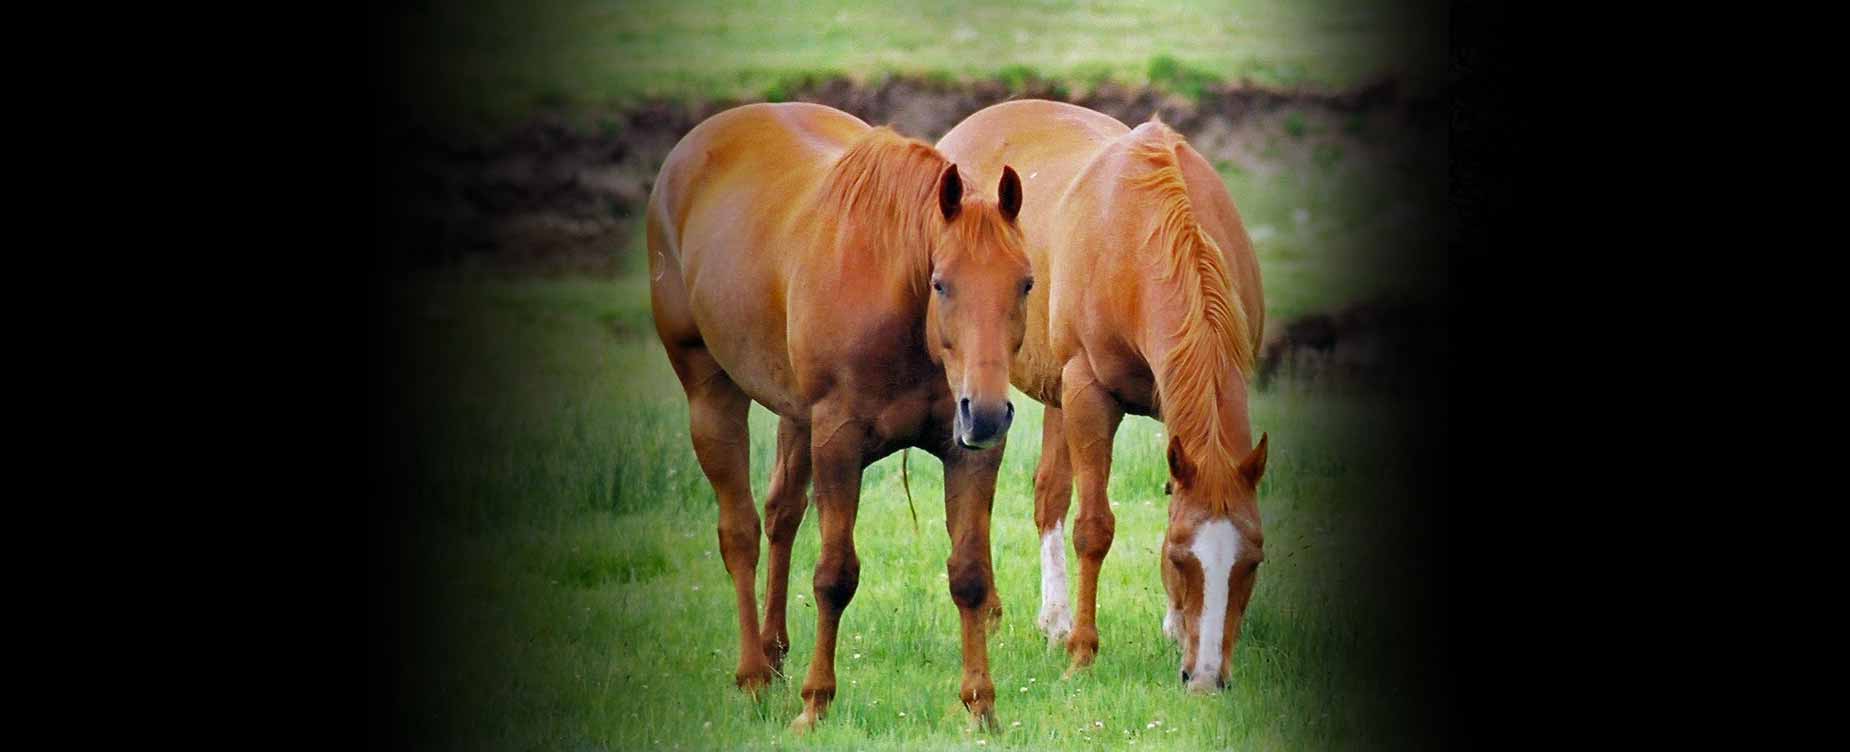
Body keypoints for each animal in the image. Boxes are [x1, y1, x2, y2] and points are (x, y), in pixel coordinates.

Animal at [647, 102, 1028, 729]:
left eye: (1025, 283)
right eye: (941, 283)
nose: (990, 414)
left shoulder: (967, 451)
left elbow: (970, 575)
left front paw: (981, 706)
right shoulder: (838, 441)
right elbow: (834, 576)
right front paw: (815, 702)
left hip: (796, 418)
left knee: (781, 515)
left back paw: (774, 653)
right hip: (711, 393)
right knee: (741, 533)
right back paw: (754, 675)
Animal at [939, 101, 1272, 692]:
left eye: (1252, 562)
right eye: (1182, 558)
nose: (1207, 679)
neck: (1143, 235)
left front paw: (1173, 626)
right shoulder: (1089, 394)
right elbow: (1094, 528)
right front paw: (1083, 652)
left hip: (1055, 394)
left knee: (1047, 493)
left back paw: (1053, 618)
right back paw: (1006, 614)